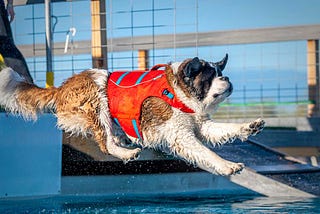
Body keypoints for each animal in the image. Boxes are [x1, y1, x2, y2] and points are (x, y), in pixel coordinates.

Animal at [0, 54, 264, 176]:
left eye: (221, 72)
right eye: (210, 76)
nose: (226, 78)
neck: (178, 91)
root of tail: (62, 87)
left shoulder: (200, 124)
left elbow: (222, 129)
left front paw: (250, 126)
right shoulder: (179, 134)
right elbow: (206, 152)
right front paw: (227, 165)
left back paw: (124, 142)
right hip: (98, 98)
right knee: (105, 143)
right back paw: (125, 152)